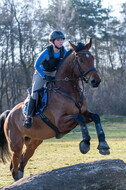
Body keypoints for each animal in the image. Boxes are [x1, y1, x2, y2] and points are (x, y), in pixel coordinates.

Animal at [0, 38, 110, 181]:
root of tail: (9, 114)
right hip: (16, 145)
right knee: (14, 167)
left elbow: (95, 116)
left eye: (92, 57)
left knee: (22, 164)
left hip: (34, 142)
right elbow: (79, 118)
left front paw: (103, 145)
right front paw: (85, 144)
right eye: (80, 60)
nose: (95, 81)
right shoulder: (61, 122)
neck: (68, 90)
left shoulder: (85, 113)